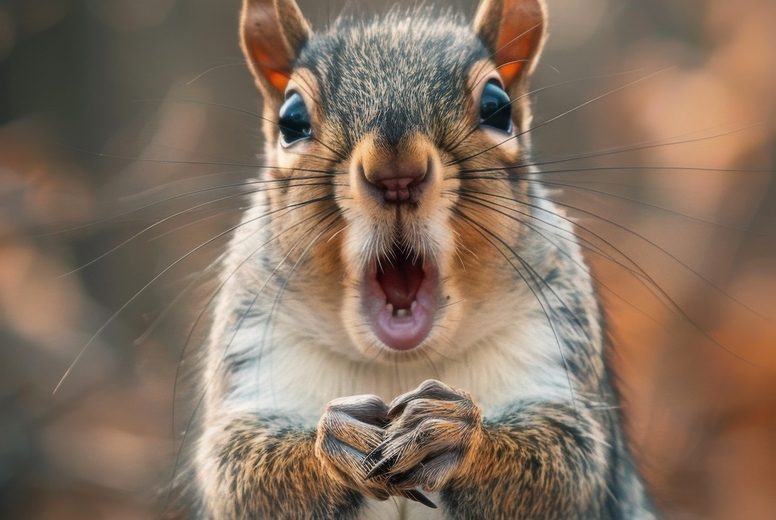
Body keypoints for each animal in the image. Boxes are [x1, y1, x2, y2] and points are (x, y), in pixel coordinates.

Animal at [183, 0, 658, 518]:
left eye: (498, 107)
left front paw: (455, 430)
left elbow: (567, 467)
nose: (397, 171)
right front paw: (335, 436)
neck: (401, 364)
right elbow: (237, 475)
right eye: (291, 120)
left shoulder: (555, 347)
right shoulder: (253, 357)